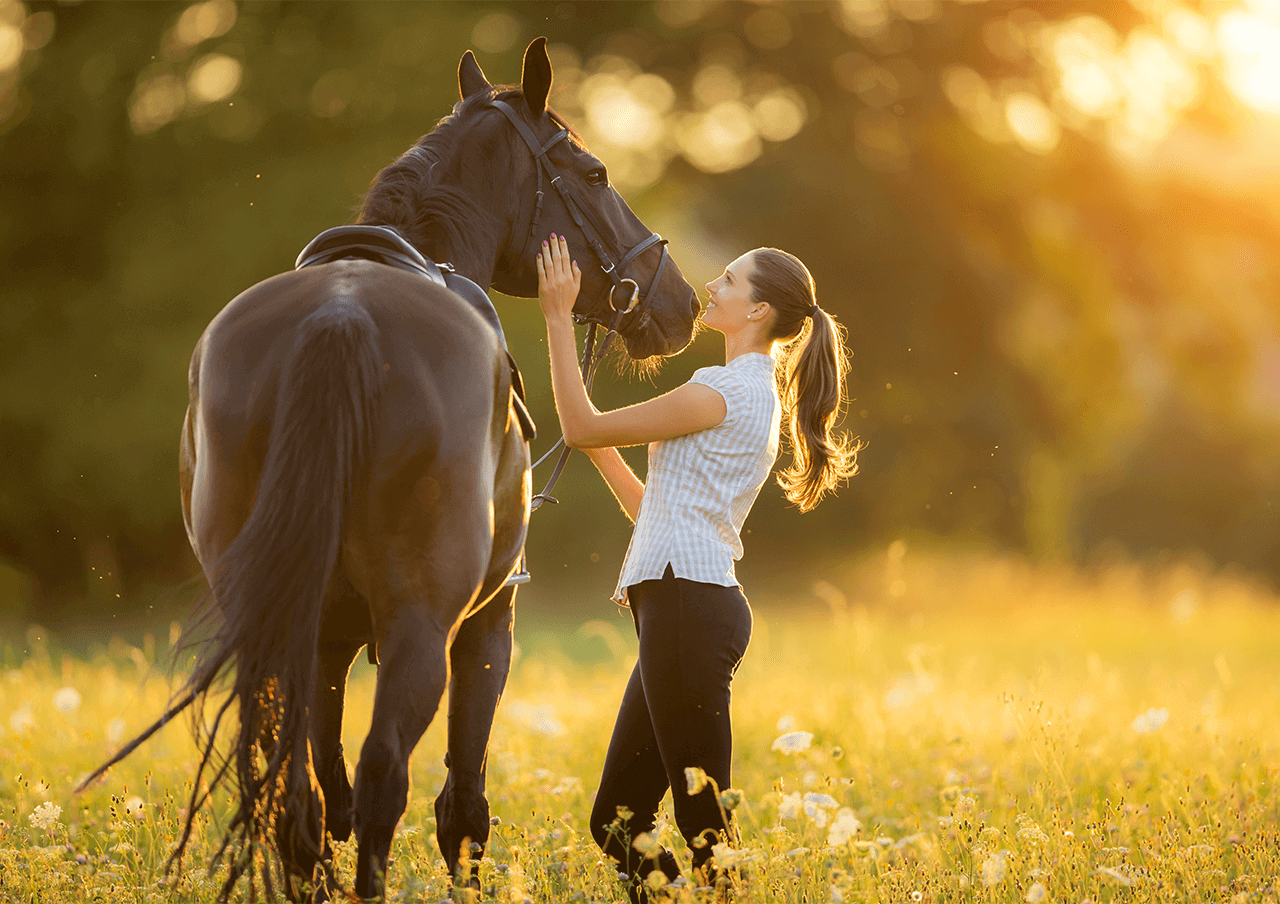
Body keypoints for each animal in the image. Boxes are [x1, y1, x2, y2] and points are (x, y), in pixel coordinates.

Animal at [81, 39, 699, 902]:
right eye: (595, 172)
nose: (681, 304)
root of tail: (339, 317)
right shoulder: (488, 623)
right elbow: (461, 806)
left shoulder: (325, 643)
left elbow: (321, 782)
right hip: (420, 630)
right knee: (383, 782)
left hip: (275, 623)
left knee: (297, 799)